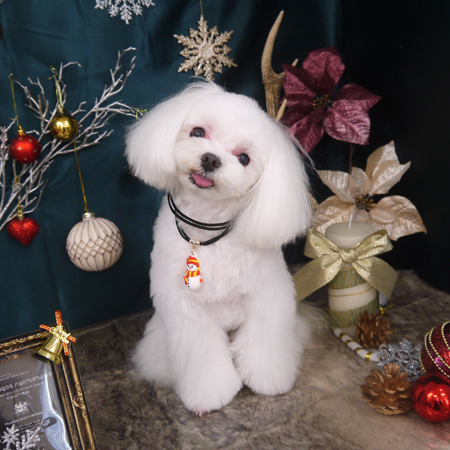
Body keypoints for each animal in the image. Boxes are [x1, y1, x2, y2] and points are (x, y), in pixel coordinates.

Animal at [125, 82, 312, 414]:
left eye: (244, 158)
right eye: (198, 132)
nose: (211, 159)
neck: (205, 230)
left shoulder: (268, 301)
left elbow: (265, 348)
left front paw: (269, 382)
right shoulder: (187, 313)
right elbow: (203, 360)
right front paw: (208, 397)